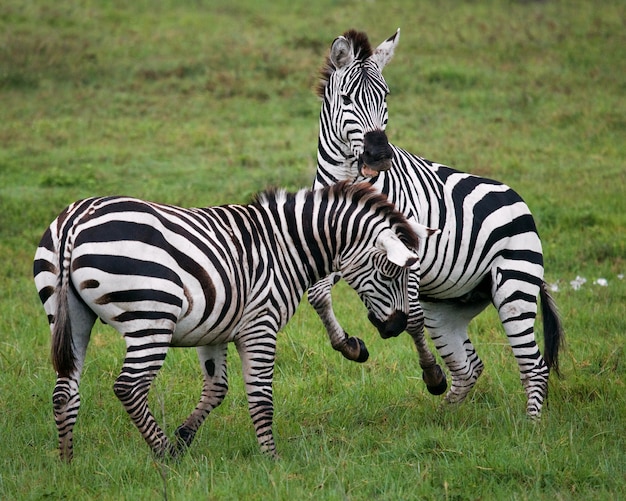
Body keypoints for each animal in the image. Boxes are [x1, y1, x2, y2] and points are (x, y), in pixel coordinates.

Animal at [33, 180, 434, 460]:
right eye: (391, 272)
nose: (396, 327)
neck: (285, 247)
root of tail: (75, 221)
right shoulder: (261, 325)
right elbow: (261, 397)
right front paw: (272, 459)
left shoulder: (214, 328)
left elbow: (216, 389)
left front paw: (185, 436)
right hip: (152, 317)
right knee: (128, 387)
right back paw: (165, 456)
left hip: (70, 317)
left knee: (64, 391)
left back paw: (68, 463)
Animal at [310, 28, 564, 418]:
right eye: (348, 99)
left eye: (385, 96)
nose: (379, 155)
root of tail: (518, 202)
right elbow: (318, 294)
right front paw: (350, 345)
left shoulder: (406, 253)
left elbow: (412, 318)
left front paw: (431, 374)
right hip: (449, 307)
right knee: (469, 366)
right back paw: (446, 417)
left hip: (514, 287)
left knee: (533, 365)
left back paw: (531, 426)